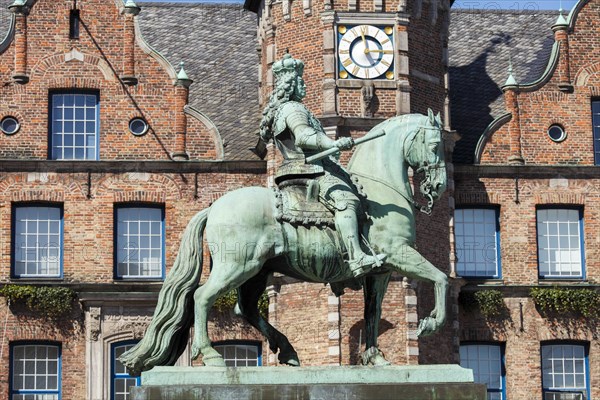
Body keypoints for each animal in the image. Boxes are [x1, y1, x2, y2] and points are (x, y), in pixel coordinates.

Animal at [120, 109, 446, 376]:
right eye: (434, 146)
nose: (439, 186)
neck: (379, 192)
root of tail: (214, 208)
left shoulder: (382, 272)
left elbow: (373, 314)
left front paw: (375, 358)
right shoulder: (398, 254)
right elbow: (440, 277)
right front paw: (430, 324)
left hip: (257, 271)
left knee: (245, 309)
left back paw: (287, 351)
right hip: (238, 265)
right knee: (202, 297)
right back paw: (212, 357)